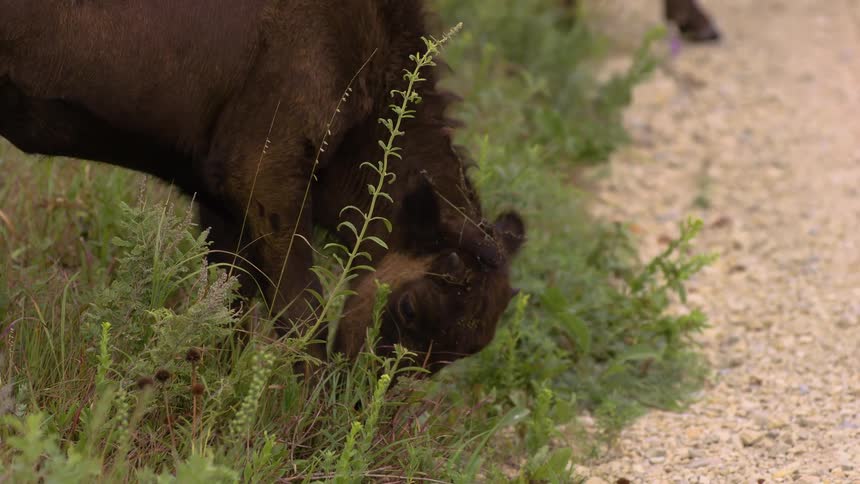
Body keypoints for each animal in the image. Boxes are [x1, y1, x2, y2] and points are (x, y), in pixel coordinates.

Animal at [0, 0, 525, 370]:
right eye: (410, 308)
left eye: (462, 351)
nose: (359, 395)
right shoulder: (267, 184)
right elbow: (302, 314)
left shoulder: (224, 208)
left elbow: (231, 302)